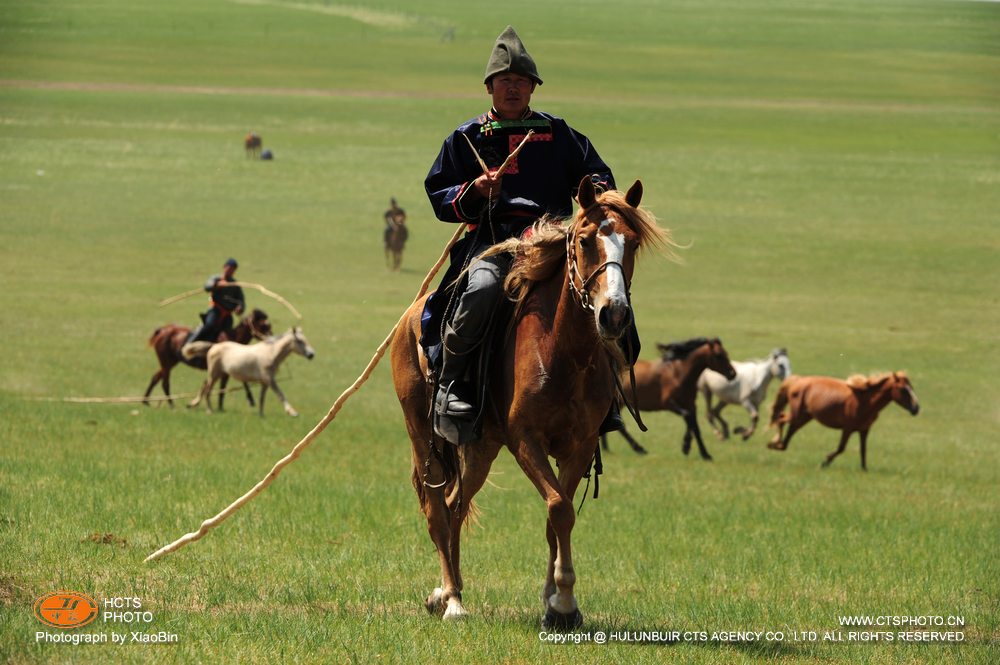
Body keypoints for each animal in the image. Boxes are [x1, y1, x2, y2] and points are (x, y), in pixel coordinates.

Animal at [143, 308, 272, 410]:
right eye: (264, 326)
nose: (271, 340)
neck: (232, 339)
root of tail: (163, 330)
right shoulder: (224, 370)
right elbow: (224, 386)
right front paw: (221, 407)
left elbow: (219, 385)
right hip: (166, 363)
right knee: (165, 383)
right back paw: (171, 404)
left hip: (170, 363)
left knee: (155, 378)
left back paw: (146, 401)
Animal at [186, 326, 314, 416]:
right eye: (300, 341)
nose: (311, 354)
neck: (270, 354)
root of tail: (214, 346)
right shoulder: (270, 379)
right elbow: (281, 394)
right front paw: (293, 412)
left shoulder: (264, 382)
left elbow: (262, 398)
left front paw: (261, 415)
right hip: (214, 374)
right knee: (207, 390)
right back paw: (209, 410)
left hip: (219, 373)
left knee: (204, 385)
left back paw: (193, 404)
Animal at [390, 179, 672, 624]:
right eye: (586, 240)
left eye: (634, 242)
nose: (613, 315)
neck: (565, 352)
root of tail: (410, 318)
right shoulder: (526, 441)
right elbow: (559, 508)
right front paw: (564, 602)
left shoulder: (580, 446)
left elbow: (558, 516)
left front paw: (556, 602)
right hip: (423, 437)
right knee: (437, 511)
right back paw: (451, 599)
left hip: (482, 446)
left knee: (455, 505)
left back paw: (448, 592)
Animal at [600, 338, 736, 456]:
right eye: (718, 355)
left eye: (725, 353)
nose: (732, 373)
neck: (679, 374)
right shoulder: (668, 403)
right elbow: (688, 417)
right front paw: (686, 445)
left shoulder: (691, 405)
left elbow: (695, 426)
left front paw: (705, 454)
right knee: (620, 427)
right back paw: (638, 448)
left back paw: (607, 449)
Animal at [764, 370, 920, 470]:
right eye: (903, 390)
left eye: (912, 387)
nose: (916, 408)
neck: (865, 401)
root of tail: (798, 380)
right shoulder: (848, 428)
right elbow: (841, 448)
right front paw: (825, 462)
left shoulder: (864, 430)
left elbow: (863, 450)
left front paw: (864, 469)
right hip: (798, 415)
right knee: (781, 420)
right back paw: (775, 443)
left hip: (805, 417)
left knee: (785, 423)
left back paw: (776, 444)